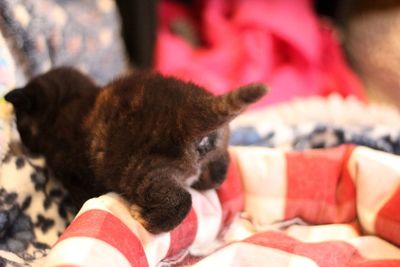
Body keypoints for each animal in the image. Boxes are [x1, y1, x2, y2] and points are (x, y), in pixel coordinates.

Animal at [4, 67, 266, 234]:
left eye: (21, 125)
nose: (22, 141)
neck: (67, 102)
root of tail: (187, 108)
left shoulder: (76, 178)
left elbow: (81, 199)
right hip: (213, 156)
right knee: (219, 171)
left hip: (138, 170)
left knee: (181, 199)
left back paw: (149, 220)